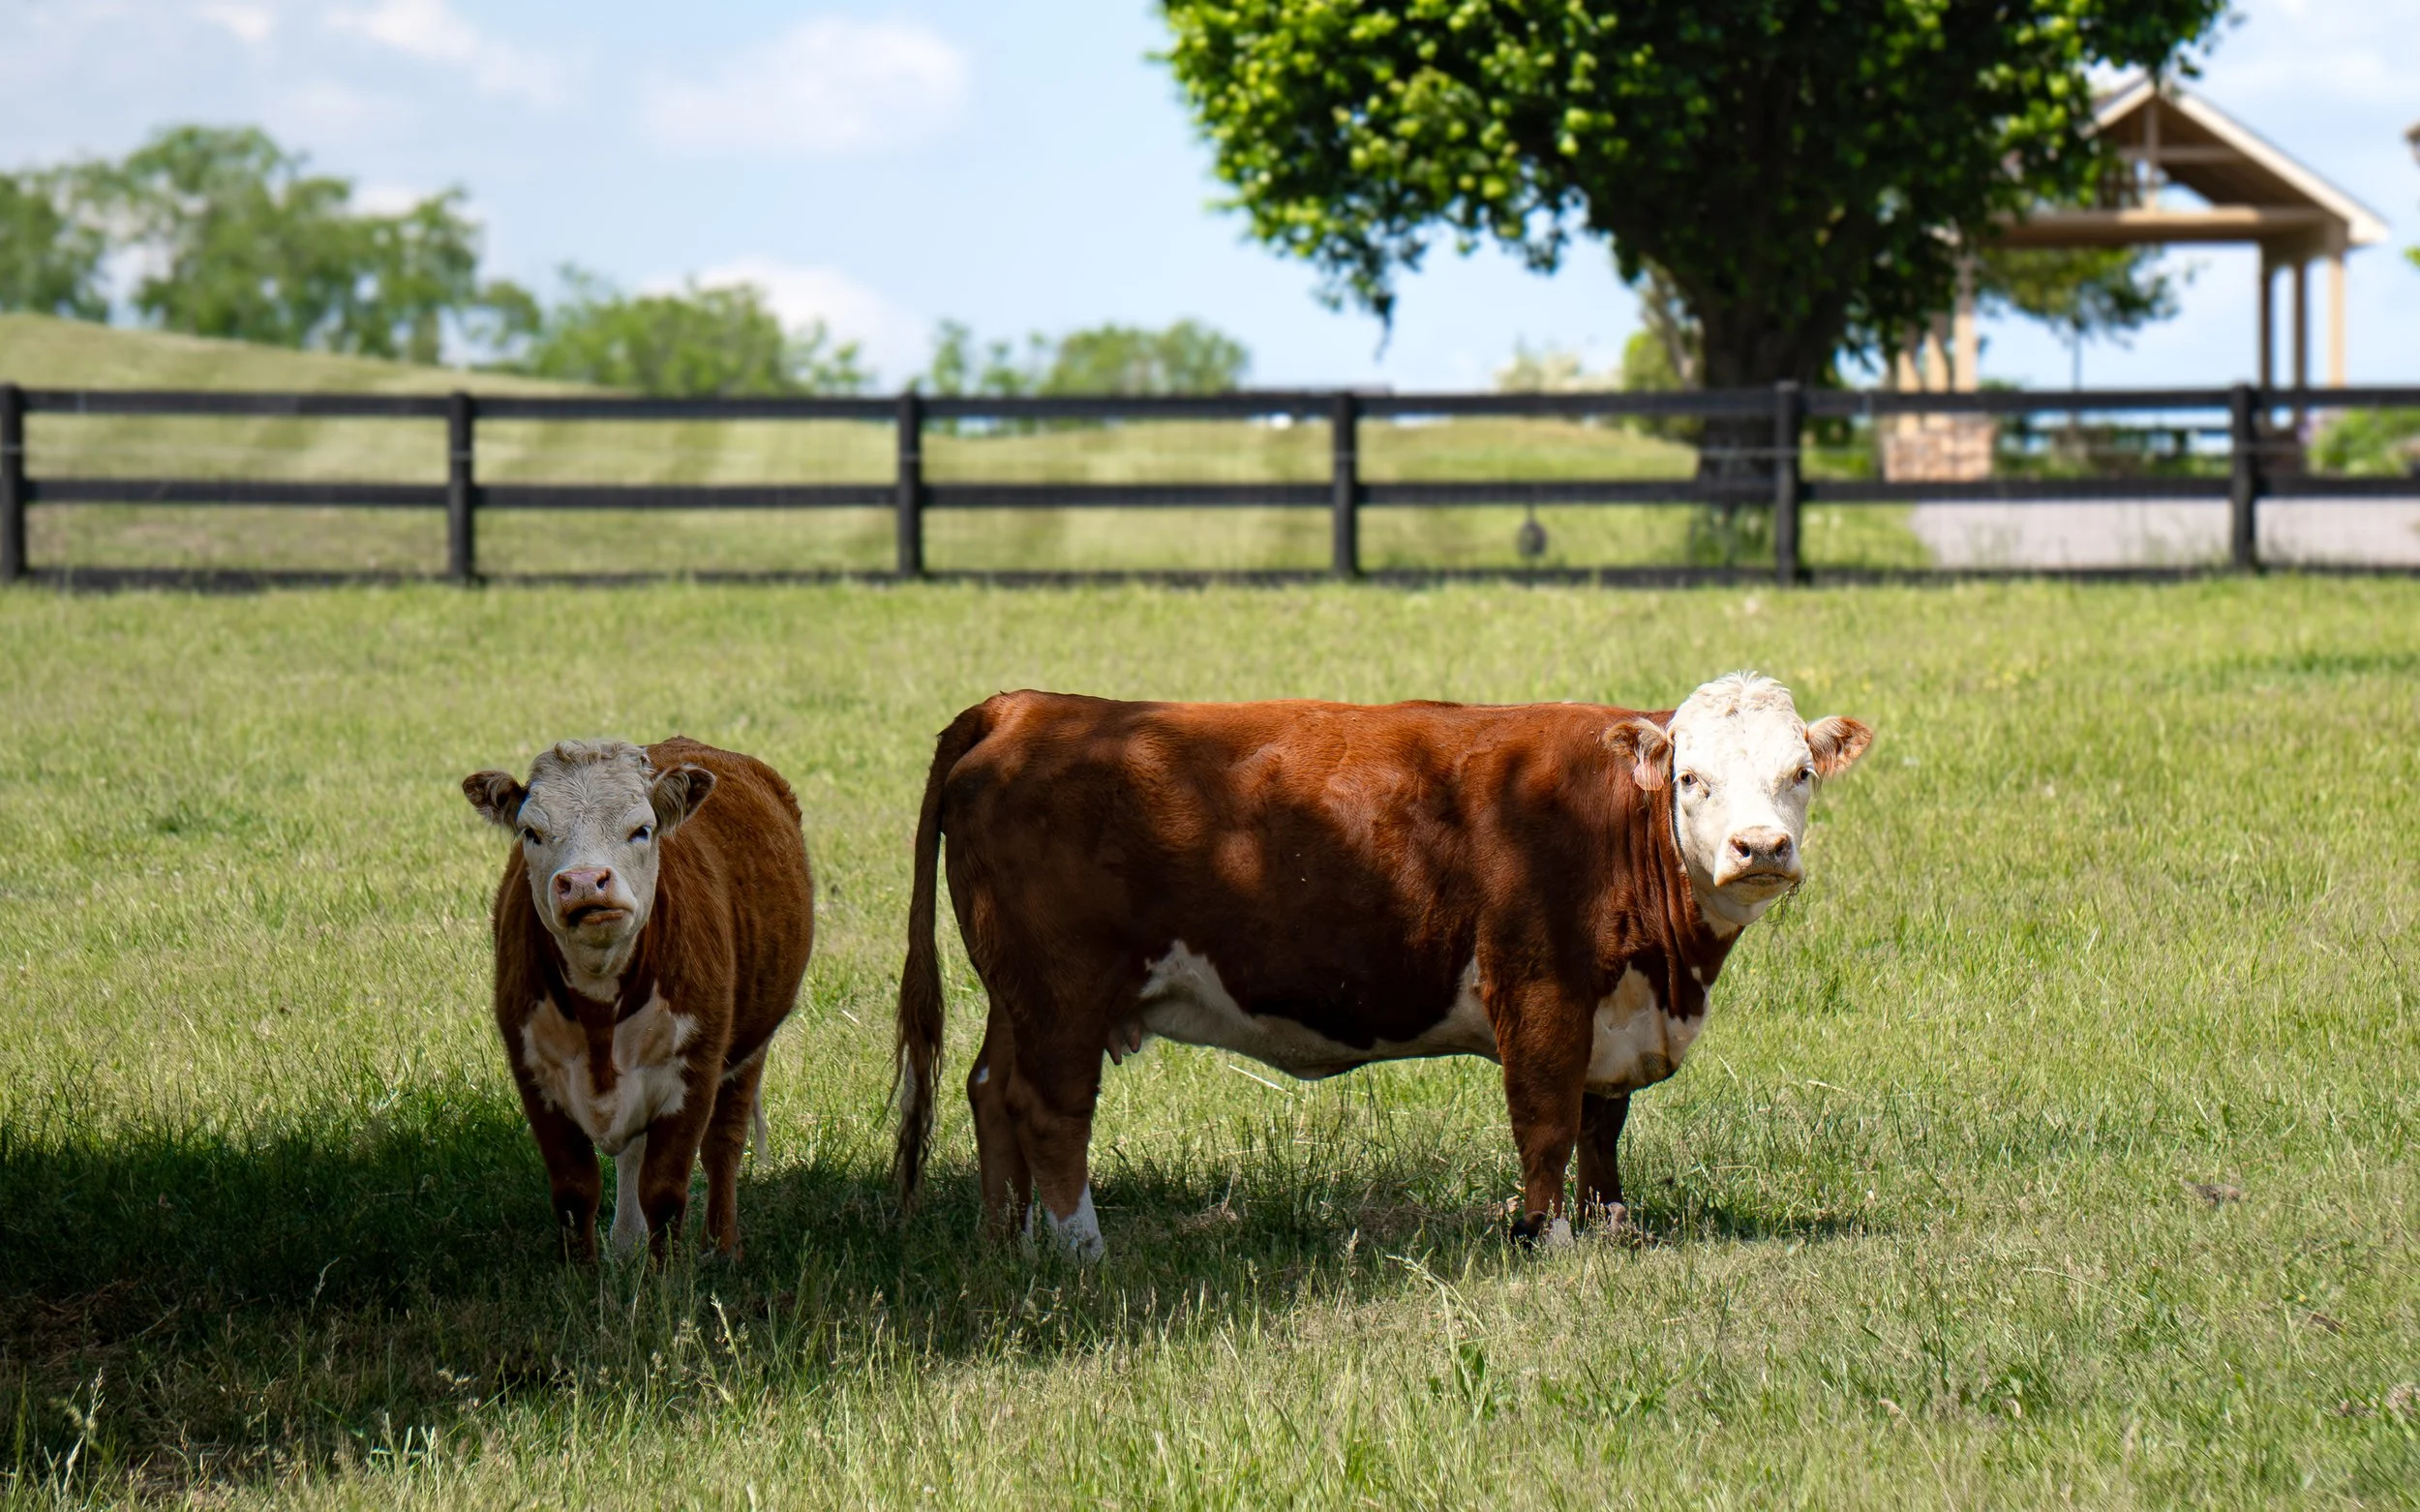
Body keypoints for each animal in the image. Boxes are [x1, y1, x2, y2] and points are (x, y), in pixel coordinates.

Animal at [463, 737, 814, 1261]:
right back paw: (627, 1243)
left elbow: (665, 1192)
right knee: (632, 1153)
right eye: (531, 832)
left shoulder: (694, 1071)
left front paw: (665, 1275)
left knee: (724, 1143)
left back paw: (721, 1245)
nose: (584, 882)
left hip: (752, 1045)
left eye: (641, 830)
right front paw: (583, 1274)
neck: (600, 1004)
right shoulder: (534, 1074)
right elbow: (575, 1192)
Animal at [891, 673, 1870, 1260]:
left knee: (991, 1090)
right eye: (1691, 779)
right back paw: (1082, 1250)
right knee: (1052, 1111)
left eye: (1800, 774)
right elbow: (1548, 1120)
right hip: (1063, 991)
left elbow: (1603, 1124)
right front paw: (1548, 1237)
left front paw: (1613, 1226)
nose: (1761, 848)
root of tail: (1030, 704)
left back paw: (1005, 1243)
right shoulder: (1542, 988)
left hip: (1018, 993)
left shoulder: (1617, 1009)